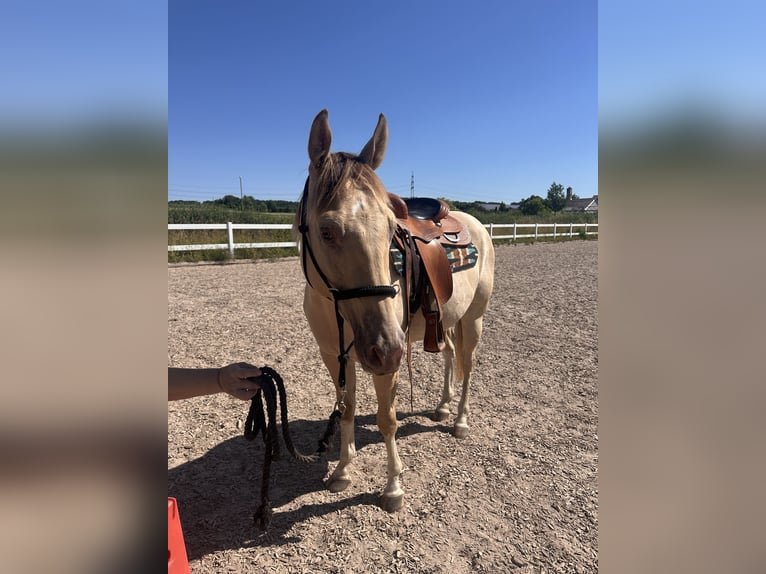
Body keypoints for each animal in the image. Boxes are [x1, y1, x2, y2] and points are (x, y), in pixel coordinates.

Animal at [294, 109, 495, 512]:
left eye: (391, 229)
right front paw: (342, 471)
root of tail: (475, 223)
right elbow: (347, 409)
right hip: (444, 322)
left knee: (467, 365)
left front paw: (393, 487)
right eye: (327, 231)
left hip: (473, 320)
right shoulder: (333, 356)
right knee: (450, 356)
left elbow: (386, 420)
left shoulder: (388, 365)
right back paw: (443, 407)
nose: (386, 348)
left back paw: (460, 420)